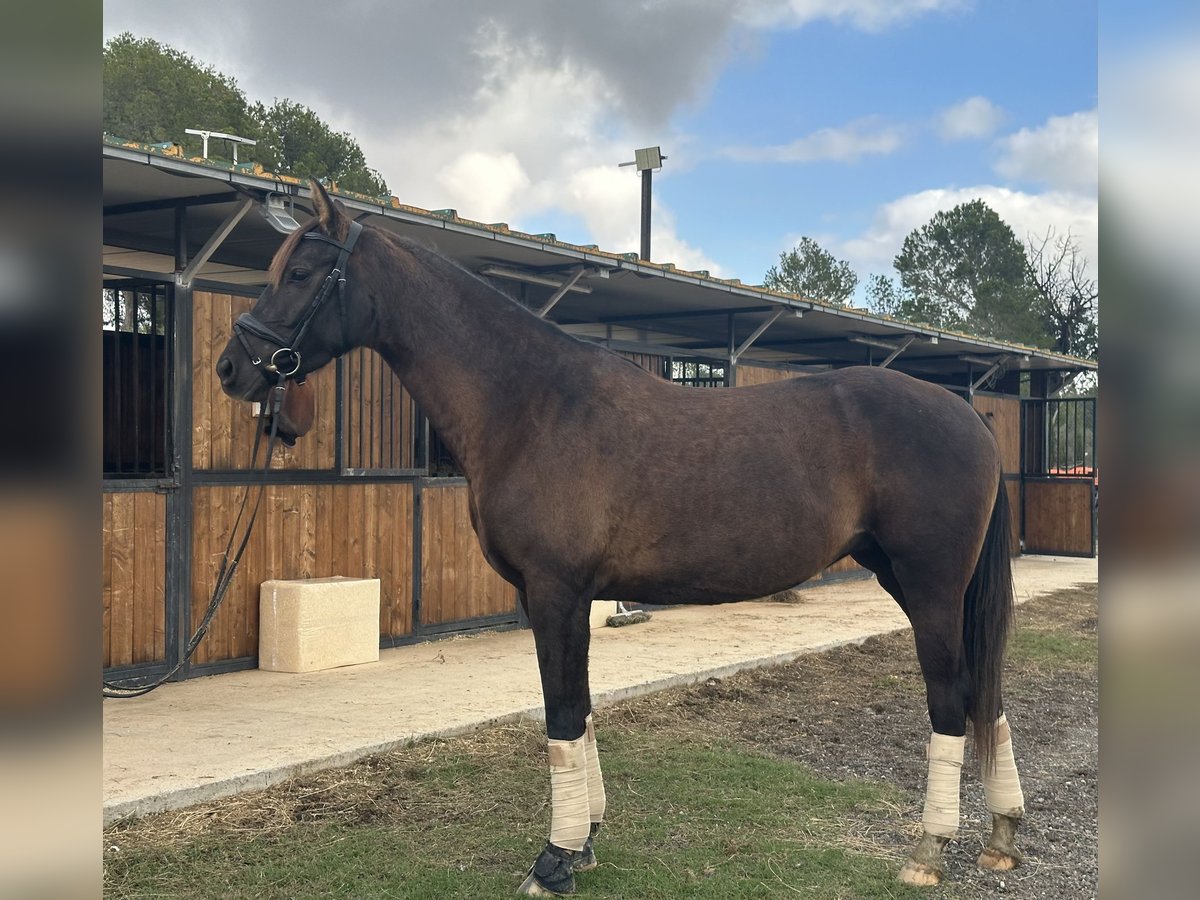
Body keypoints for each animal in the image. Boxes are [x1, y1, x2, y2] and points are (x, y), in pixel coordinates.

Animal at [216, 183, 1022, 897]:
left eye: (300, 273)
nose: (232, 368)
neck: (533, 405)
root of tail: (968, 416)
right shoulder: (566, 598)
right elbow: (581, 710)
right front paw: (586, 843)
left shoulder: (556, 592)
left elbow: (562, 715)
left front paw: (553, 861)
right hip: (912, 582)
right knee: (983, 694)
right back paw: (1002, 835)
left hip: (929, 585)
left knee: (950, 698)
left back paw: (928, 852)